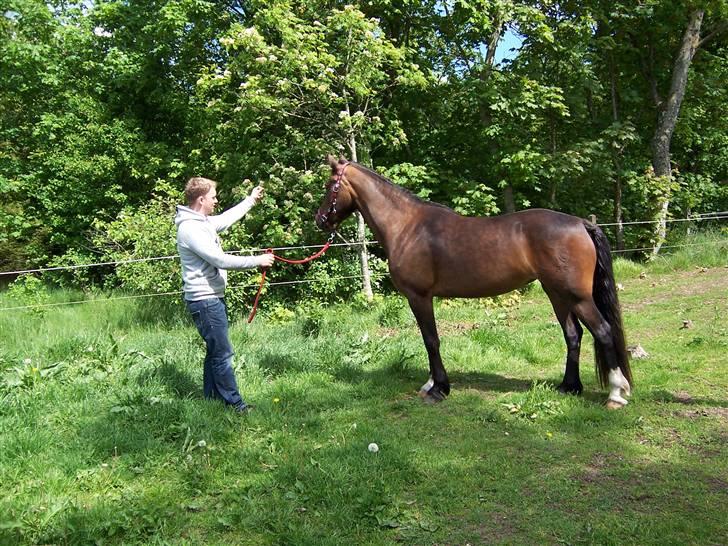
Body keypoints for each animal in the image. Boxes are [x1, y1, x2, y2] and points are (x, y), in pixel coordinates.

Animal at [316, 155, 636, 406]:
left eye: (330, 187)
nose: (320, 220)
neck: (407, 226)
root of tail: (581, 223)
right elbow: (428, 339)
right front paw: (431, 384)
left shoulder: (419, 296)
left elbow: (431, 340)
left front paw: (438, 388)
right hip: (557, 294)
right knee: (573, 335)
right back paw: (569, 387)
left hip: (578, 296)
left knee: (603, 331)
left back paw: (615, 394)